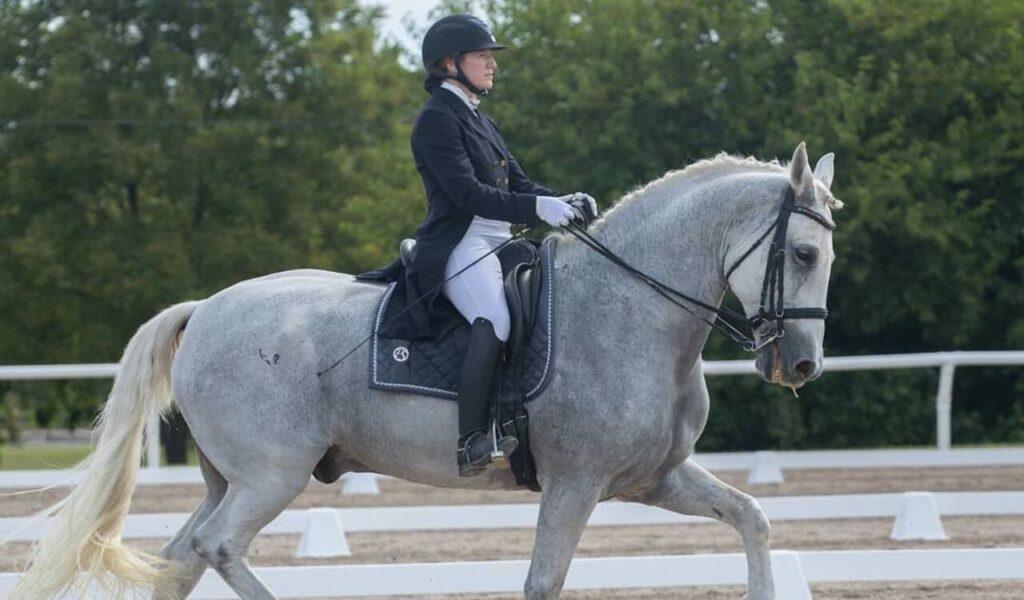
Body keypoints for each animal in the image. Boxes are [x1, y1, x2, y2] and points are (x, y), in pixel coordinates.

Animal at [14, 142, 841, 600]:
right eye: (803, 252)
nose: (800, 364)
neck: (631, 307)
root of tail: (207, 308)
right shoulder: (575, 484)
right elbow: (543, 581)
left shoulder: (653, 477)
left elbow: (753, 518)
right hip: (270, 475)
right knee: (218, 549)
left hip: (229, 476)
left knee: (182, 559)